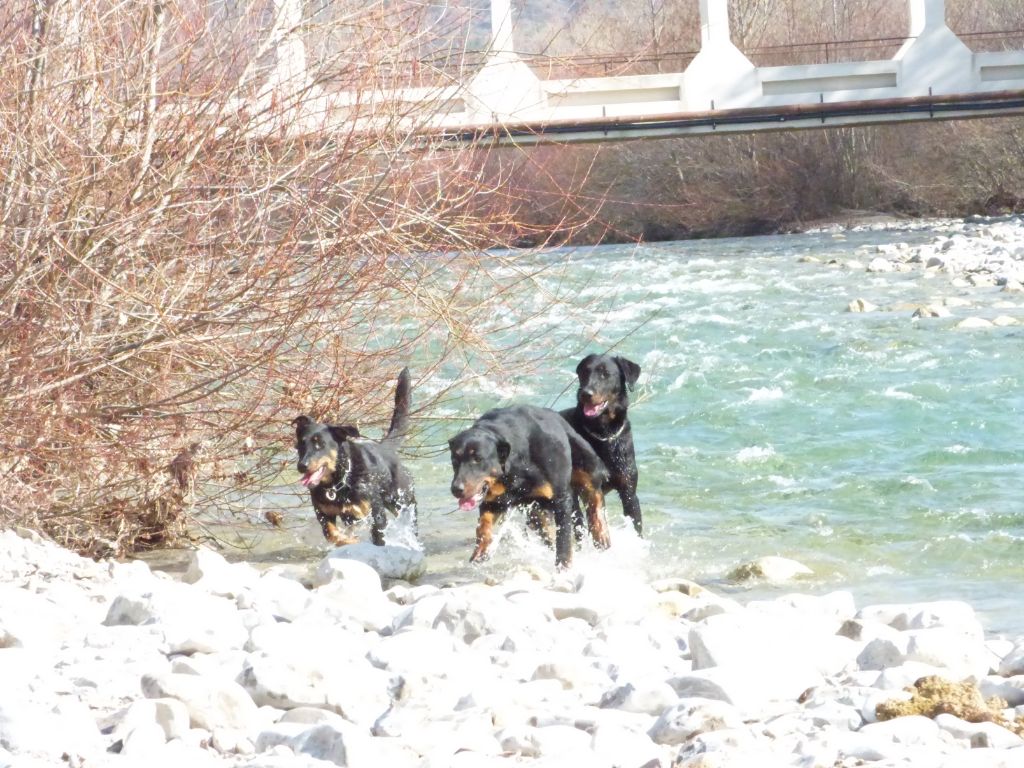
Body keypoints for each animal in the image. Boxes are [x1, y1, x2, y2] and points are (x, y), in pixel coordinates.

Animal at [290, 370, 413, 548]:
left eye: (320, 444)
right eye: (300, 444)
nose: (302, 466)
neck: (338, 483)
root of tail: (385, 448)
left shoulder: (376, 515)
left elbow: (378, 537)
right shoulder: (324, 513)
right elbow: (331, 534)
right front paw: (347, 540)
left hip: (402, 502)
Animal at [448, 405, 606, 569]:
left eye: (478, 459)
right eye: (454, 459)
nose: (456, 489)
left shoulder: (561, 499)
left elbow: (563, 539)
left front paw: (563, 567)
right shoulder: (493, 501)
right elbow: (483, 525)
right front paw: (481, 549)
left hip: (586, 462)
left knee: (594, 498)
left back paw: (601, 536)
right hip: (535, 512)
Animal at [561, 354, 638, 536]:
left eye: (606, 374)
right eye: (584, 372)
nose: (585, 393)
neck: (604, 434)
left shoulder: (629, 490)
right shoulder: (580, 490)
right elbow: (580, 527)